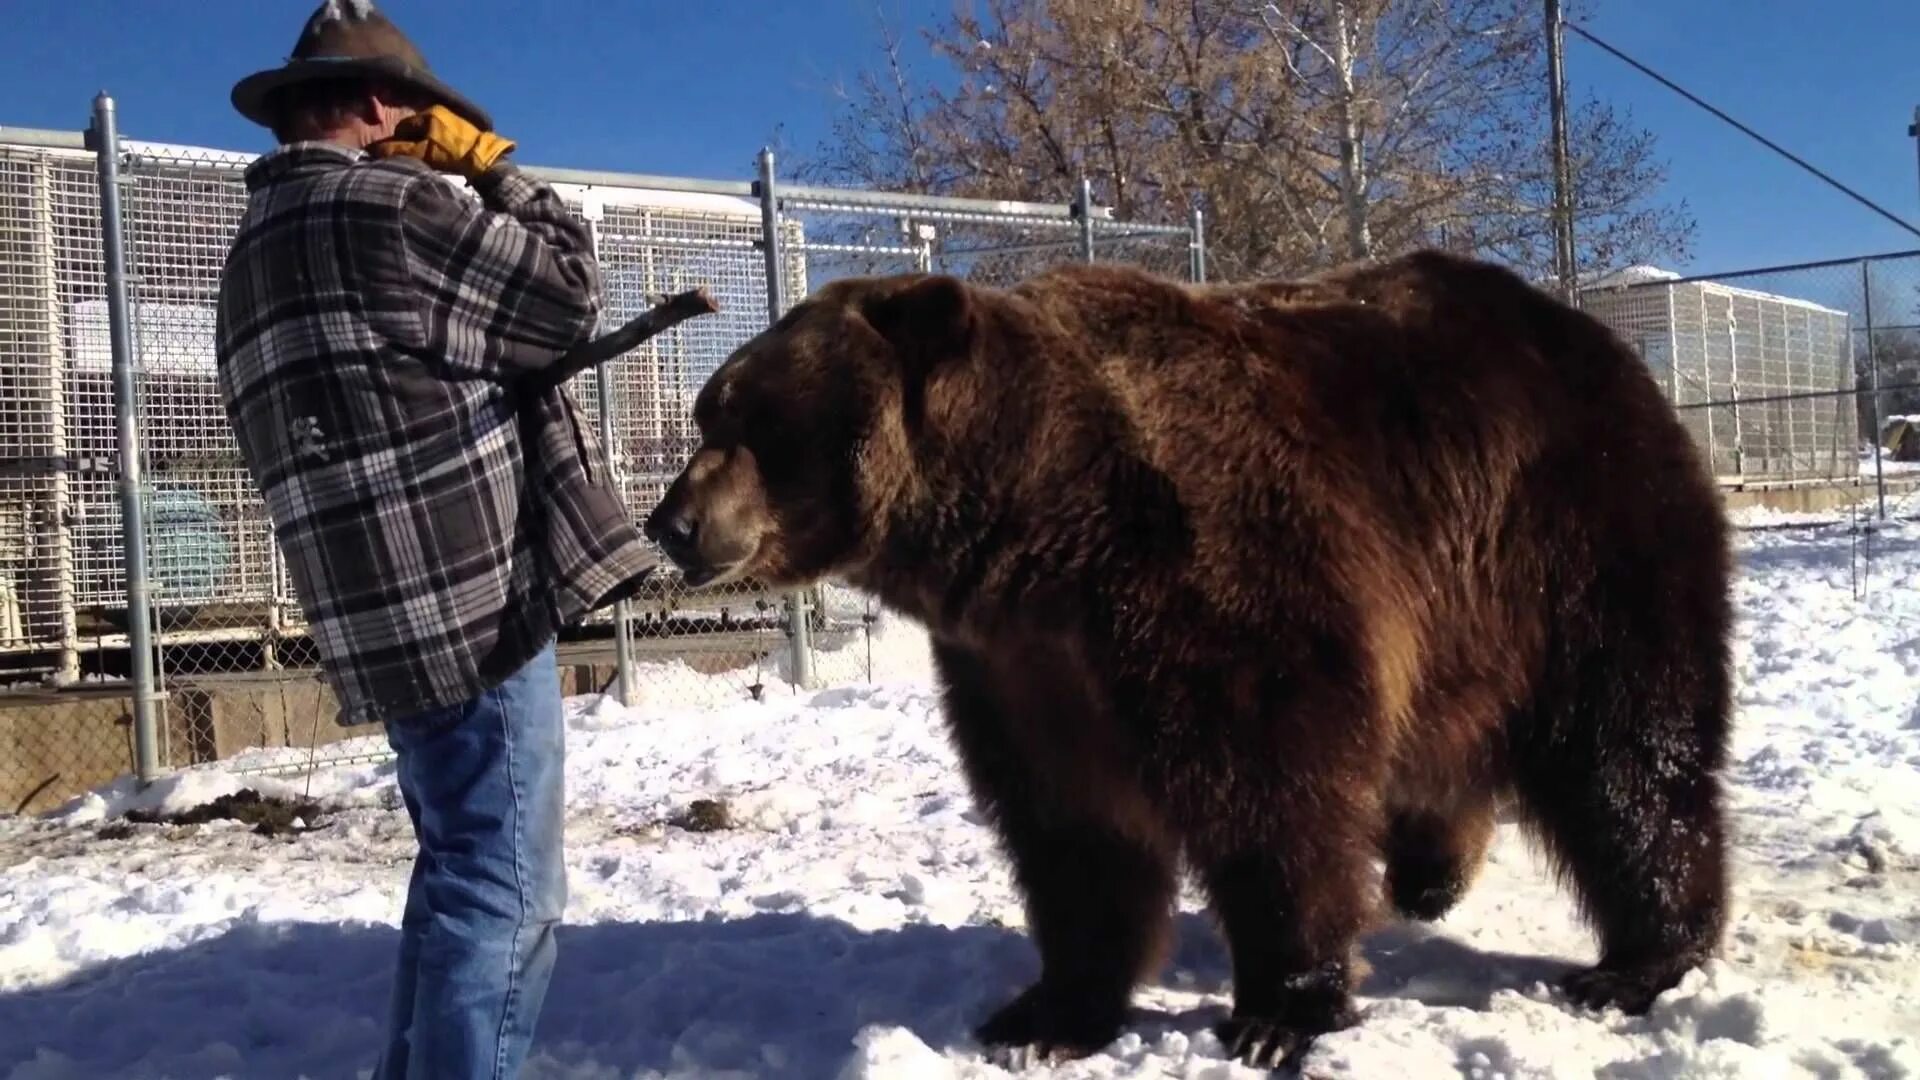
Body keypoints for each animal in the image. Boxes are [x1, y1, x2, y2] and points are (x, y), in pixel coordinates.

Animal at [637, 247, 1735, 1060]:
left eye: (755, 414)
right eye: (708, 410)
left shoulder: (1217, 580)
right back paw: (1432, 873)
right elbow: (1071, 831)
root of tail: (1592, 338)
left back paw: (1635, 960)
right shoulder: (1022, 667)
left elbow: (1274, 788)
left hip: (1570, 540)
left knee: (1628, 750)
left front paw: (1279, 1009)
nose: (671, 522)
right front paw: (1048, 1011)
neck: (1041, 528)